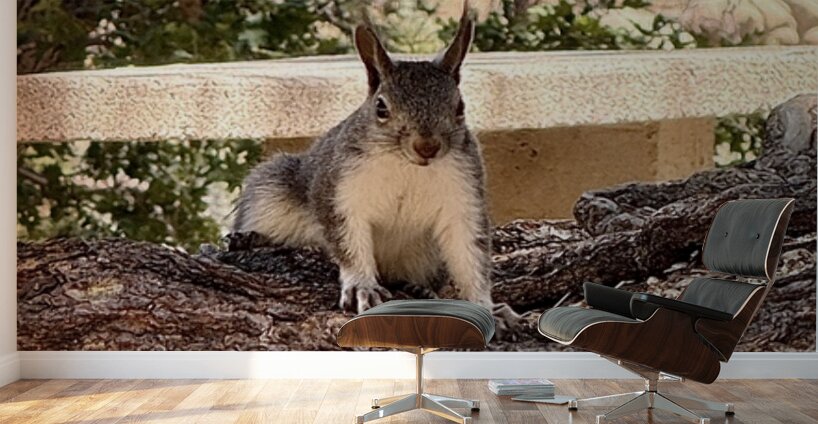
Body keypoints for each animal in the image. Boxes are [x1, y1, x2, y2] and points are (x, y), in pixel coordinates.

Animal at [232, 2, 519, 330]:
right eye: (381, 107)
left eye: (460, 107)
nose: (427, 146)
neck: (407, 166)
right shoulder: (338, 192)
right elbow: (348, 243)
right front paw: (362, 286)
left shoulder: (464, 194)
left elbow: (470, 254)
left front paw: (488, 308)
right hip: (269, 191)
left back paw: (417, 288)